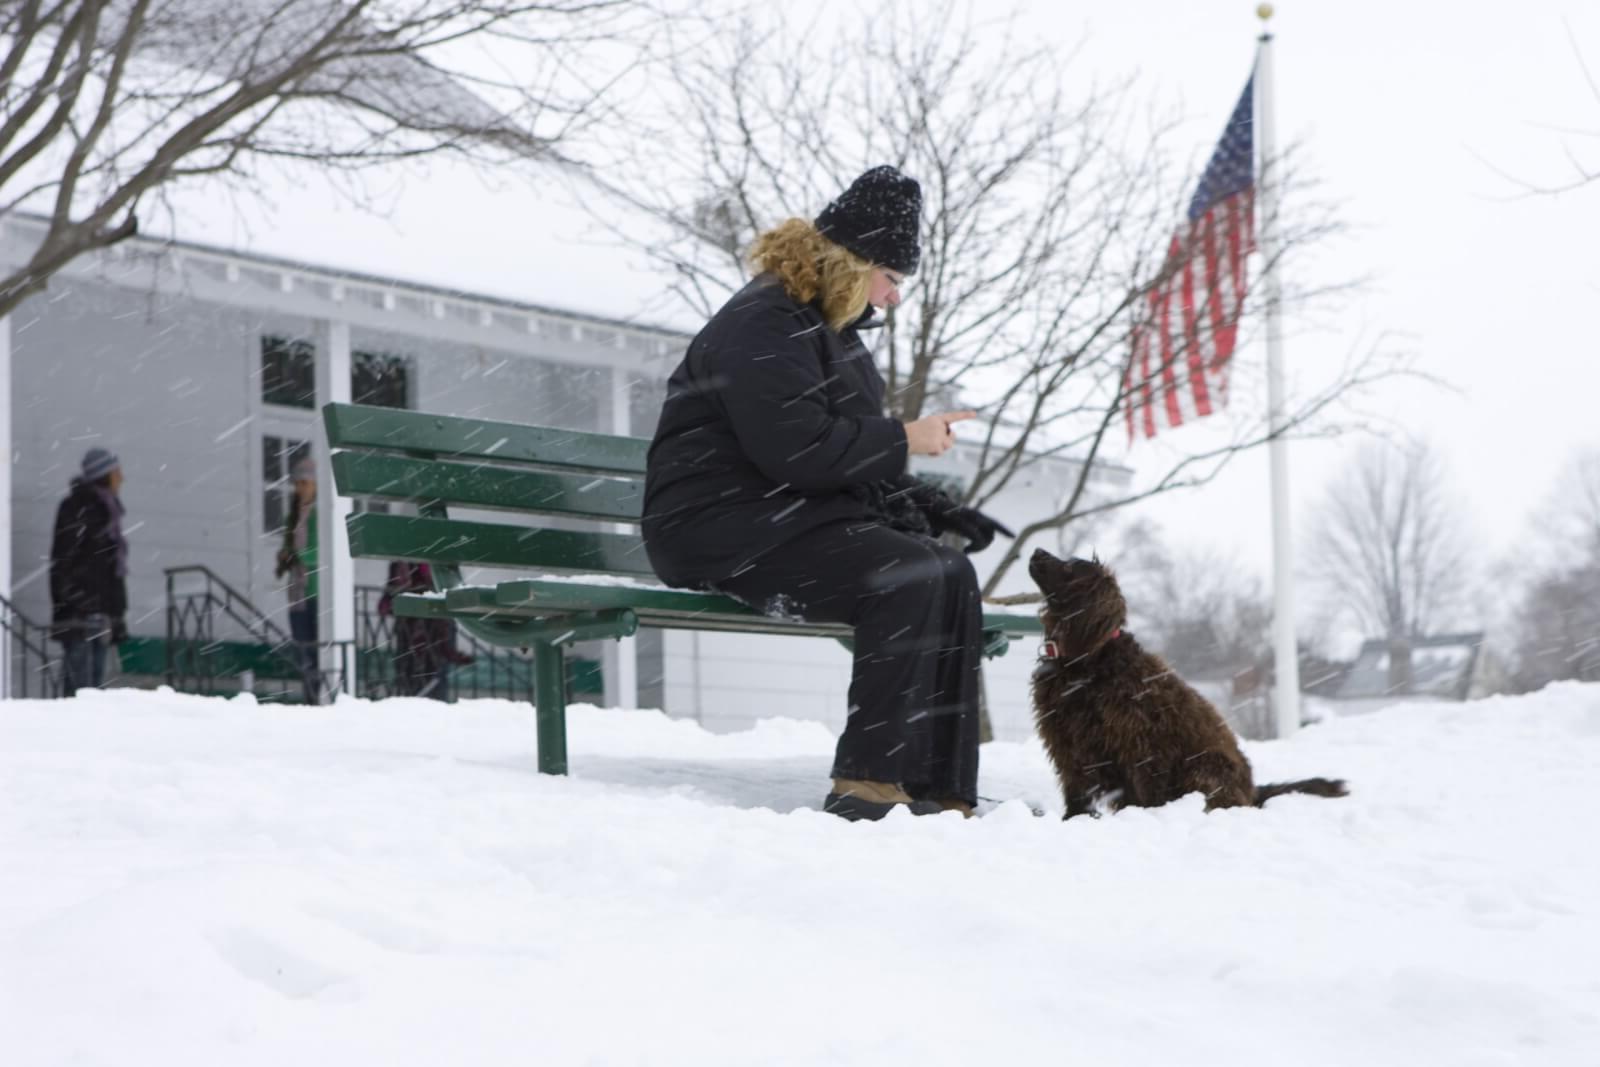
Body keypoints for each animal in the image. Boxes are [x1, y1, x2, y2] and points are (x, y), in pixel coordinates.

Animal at [1024, 550, 1350, 819]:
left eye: (1070, 567)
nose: (1037, 551)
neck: (1086, 658)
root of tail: (1253, 792)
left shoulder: (1138, 741)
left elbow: (1146, 791)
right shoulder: (1066, 740)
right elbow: (1077, 790)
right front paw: (1072, 820)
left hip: (1204, 767)